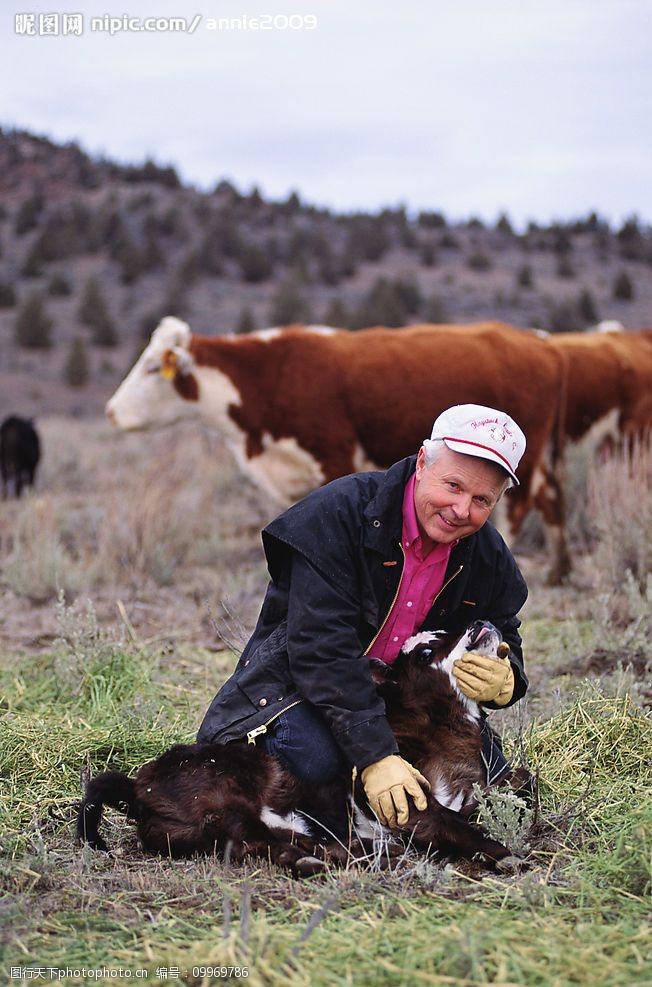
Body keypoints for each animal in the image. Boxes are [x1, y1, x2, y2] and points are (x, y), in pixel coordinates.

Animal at [77, 620, 524, 876]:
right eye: (426, 651)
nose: (482, 621)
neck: (438, 729)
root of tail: (137, 788)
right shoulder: (408, 802)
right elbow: (460, 826)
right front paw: (505, 855)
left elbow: (518, 786)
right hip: (229, 796)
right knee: (250, 842)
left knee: (277, 844)